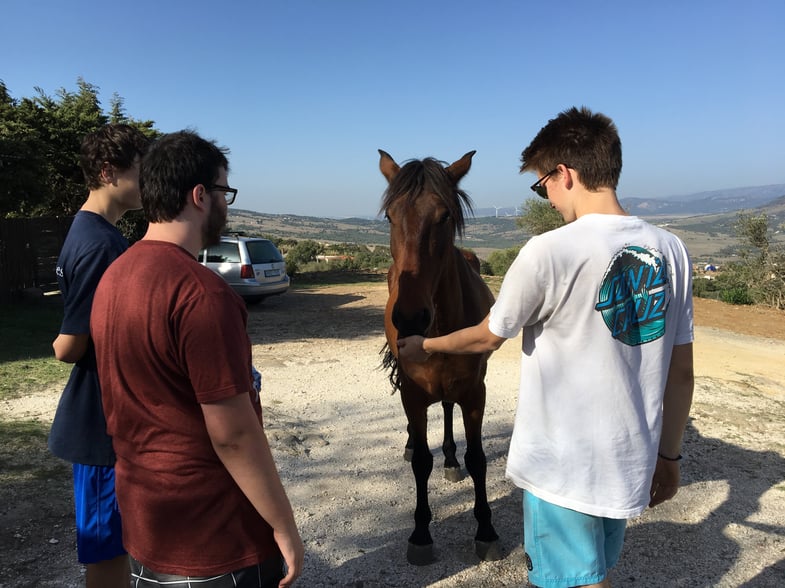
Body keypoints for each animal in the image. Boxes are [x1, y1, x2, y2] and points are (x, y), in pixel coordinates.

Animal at [378, 150, 500, 564]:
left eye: (444, 216)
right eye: (390, 216)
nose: (410, 318)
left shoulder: (475, 391)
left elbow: (478, 458)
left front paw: (486, 530)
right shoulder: (412, 393)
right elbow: (420, 462)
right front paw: (420, 534)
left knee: (447, 409)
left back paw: (450, 458)